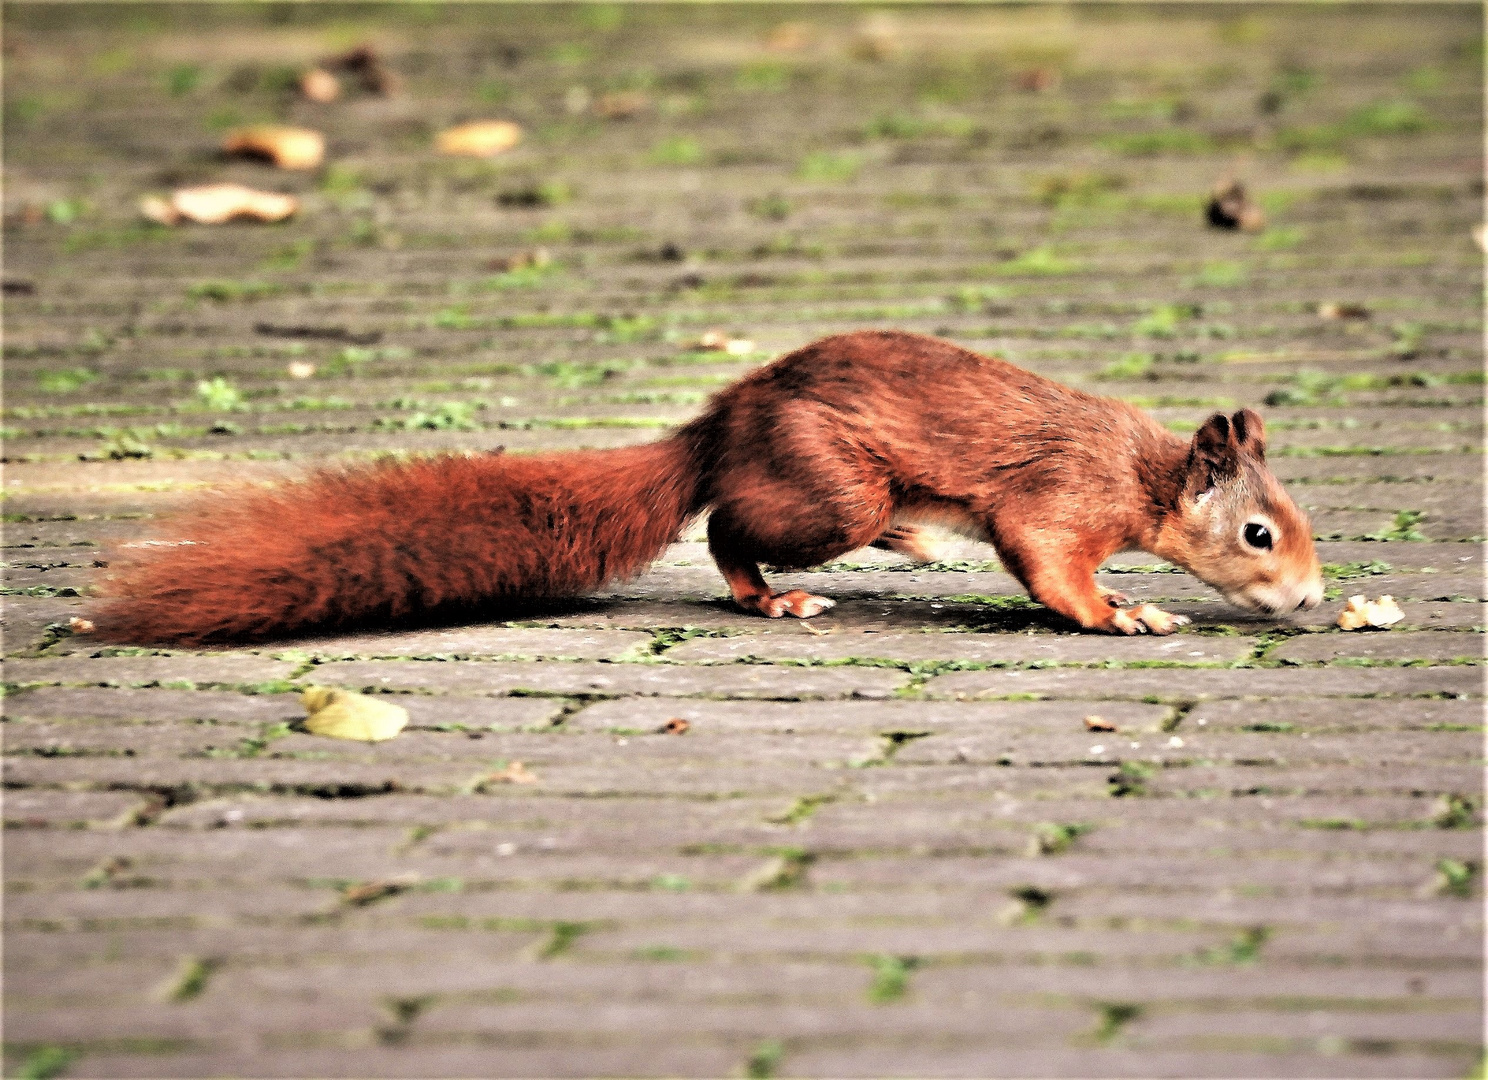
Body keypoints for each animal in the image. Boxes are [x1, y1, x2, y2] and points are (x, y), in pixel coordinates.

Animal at [95, 330, 1327, 648]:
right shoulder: (1058, 501)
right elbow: (1053, 571)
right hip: (829, 492)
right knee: (733, 526)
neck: (1142, 473)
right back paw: (774, 593)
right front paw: (1125, 612)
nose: (1315, 598)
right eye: (1259, 535)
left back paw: (904, 549)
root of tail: (718, 423)